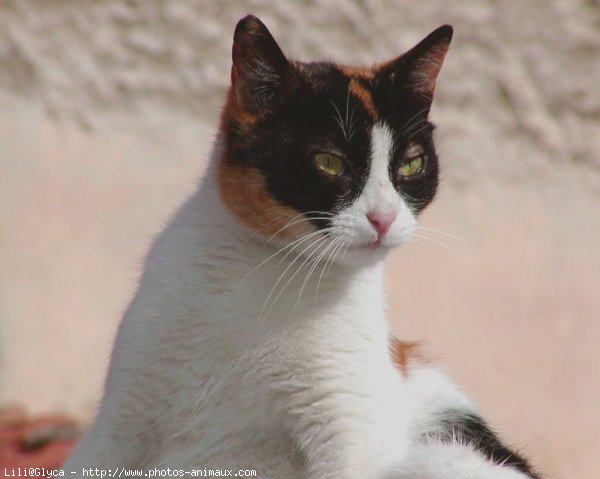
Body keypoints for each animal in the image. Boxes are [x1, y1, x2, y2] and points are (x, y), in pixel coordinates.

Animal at [61, 15, 540, 479]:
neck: (265, 272)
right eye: (328, 162)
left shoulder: (354, 436)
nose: (383, 217)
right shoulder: (117, 423)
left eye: (410, 164)